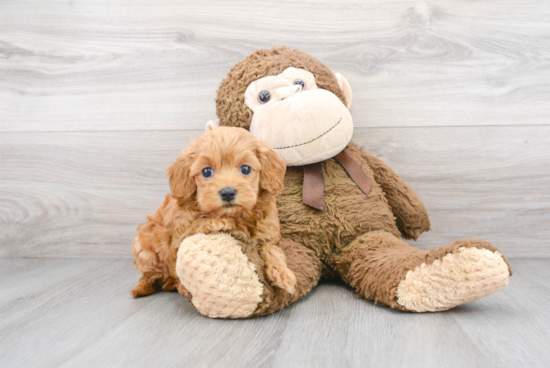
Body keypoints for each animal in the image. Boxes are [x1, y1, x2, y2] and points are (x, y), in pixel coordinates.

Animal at [132, 126, 298, 300]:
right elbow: (183, 255)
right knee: (151, 273)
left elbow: (272, 249)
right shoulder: (181, 234)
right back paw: (147, 287)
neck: (237, 215)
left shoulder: (267, 232)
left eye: (245, 169)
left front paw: (283, 275)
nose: (227, 193)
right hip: (144, 249)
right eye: (206, 172)